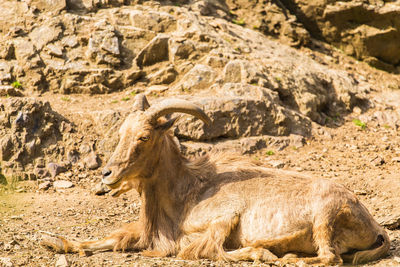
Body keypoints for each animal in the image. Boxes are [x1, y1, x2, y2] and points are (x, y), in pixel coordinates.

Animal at [42, 94, 390, 266]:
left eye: (143, 137)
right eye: (121, 133)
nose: (108, 174)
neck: (186, 193)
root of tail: (375, 226)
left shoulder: (225, 218)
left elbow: (208, 250)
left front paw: (262, 253)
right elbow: (108, 238)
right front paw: (55, 241)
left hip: (324, 217)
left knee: (331, 257)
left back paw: (291, 258)